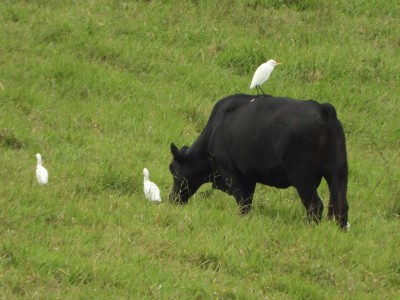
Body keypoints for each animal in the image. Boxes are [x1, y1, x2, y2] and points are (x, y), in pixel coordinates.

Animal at [167, 94, 348, 227]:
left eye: (173, 170)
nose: (172, 199)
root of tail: (323, 108)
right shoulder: (249, 177)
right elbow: (247, 201)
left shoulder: (229, 171)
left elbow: (243, 202)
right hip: (338, 173)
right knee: (341, 207)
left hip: (302, 177)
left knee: (315, 206)